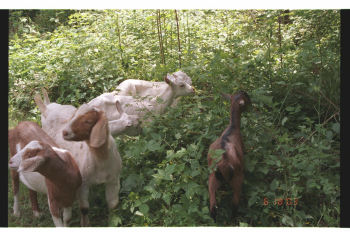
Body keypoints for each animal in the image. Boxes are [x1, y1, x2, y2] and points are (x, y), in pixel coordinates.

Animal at [34, 93, 123, 226]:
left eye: (88, 121)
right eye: (74, 115)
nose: (64, 132)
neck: (100, 159)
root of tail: (47, 108)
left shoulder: (114, 179)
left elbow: (113, 204)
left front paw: (112, 222)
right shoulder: (83, 183)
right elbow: (84, 208)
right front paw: (85, 224)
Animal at [206, 90, 250, 221]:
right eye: (246, 98)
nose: (251, 103)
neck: (232, 128)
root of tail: (224, 166)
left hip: (212, 179)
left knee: (213, 206)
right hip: (237, 180)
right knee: (234, 205)